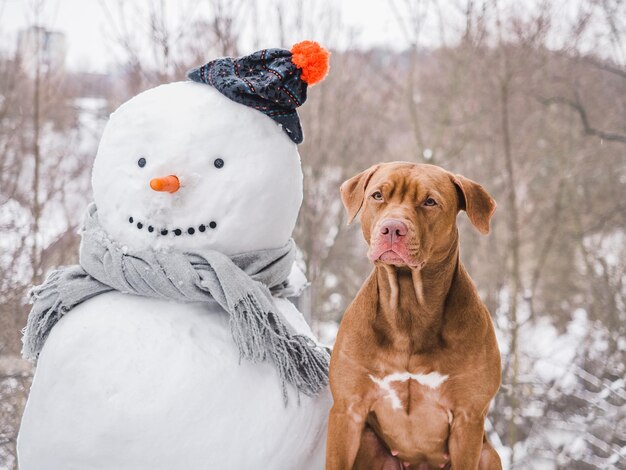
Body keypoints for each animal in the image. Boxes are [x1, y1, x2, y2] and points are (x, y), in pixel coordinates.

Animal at [326, 162, 502, 470]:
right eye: (377, 195)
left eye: (429, 201)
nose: (392, 228)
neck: (408, 307)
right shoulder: (347, 411)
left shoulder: (468, 419)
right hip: (369, 443)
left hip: (488, 454)